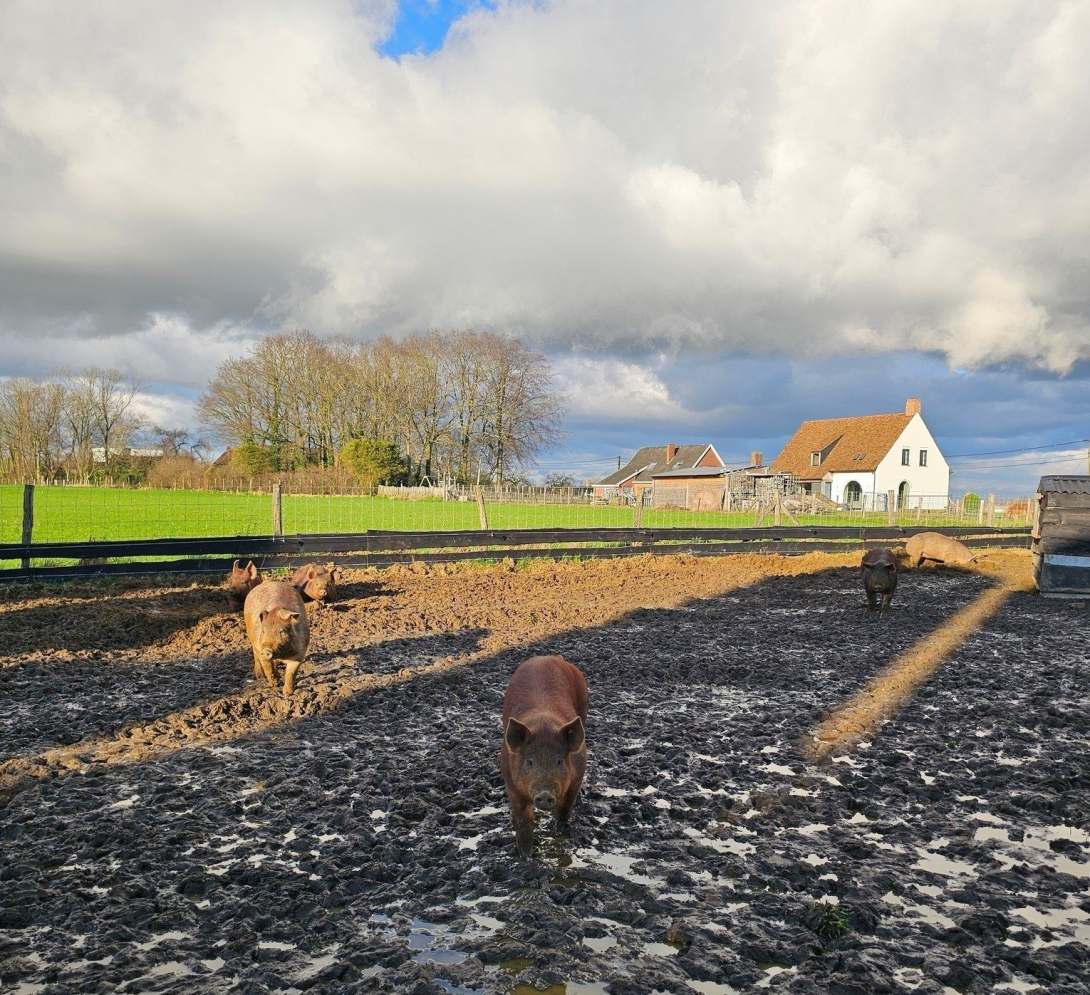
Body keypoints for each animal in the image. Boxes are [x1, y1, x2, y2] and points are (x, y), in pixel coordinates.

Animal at [499, 658, 588, 858]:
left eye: (559, 761)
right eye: (530, 761)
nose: (545, 795)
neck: (543, 726)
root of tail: (548, 657)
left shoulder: (577, 776)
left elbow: (564, 811)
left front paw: (559, 835)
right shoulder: (512, 784)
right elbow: (524, 824)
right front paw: (526, 857)